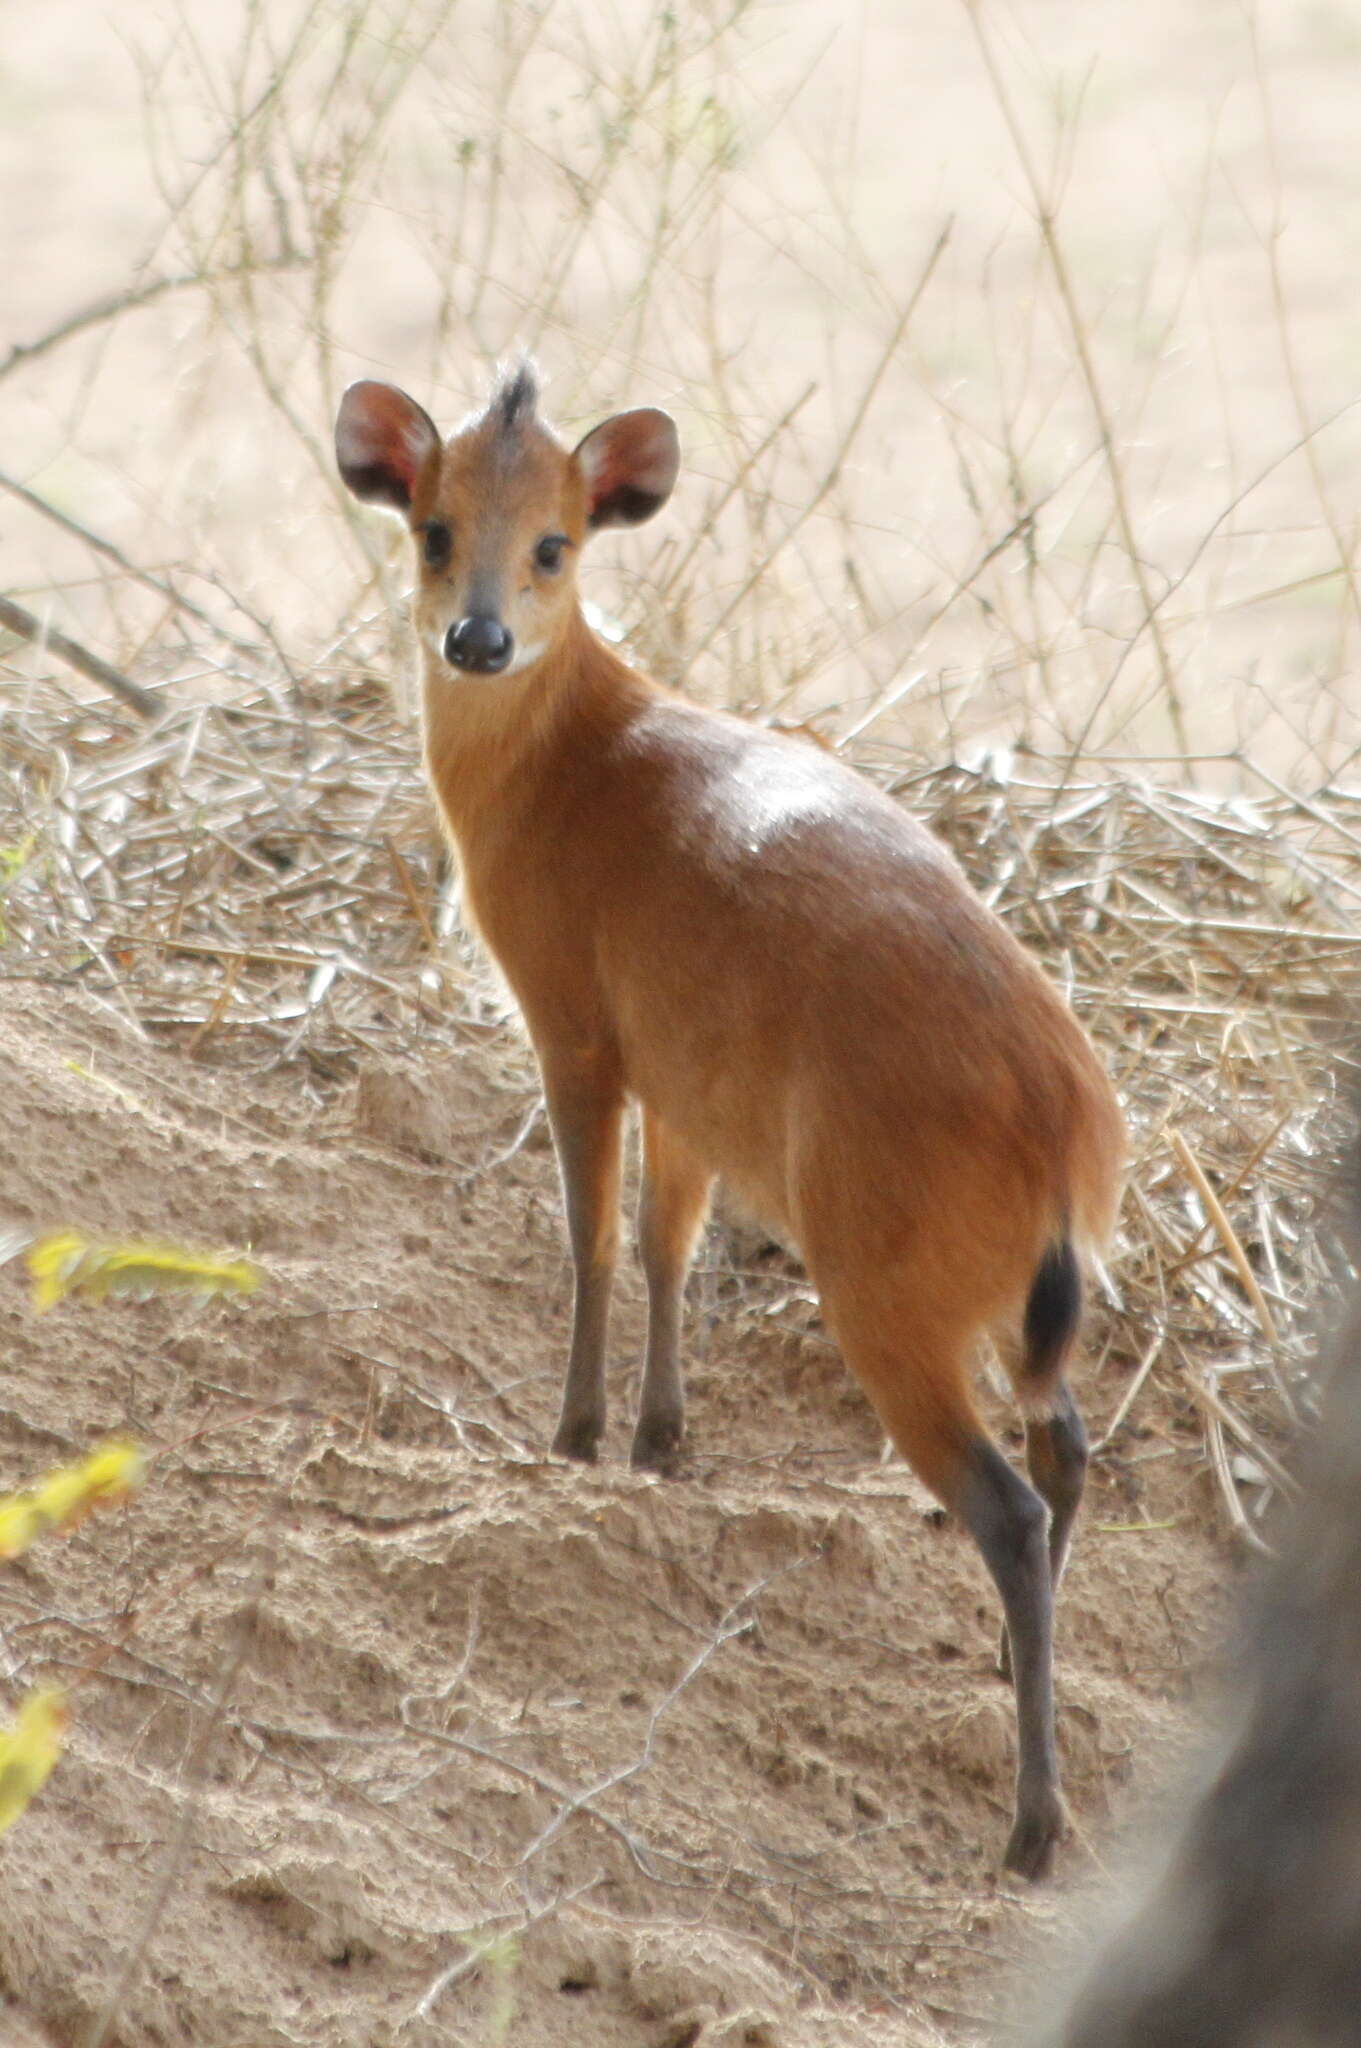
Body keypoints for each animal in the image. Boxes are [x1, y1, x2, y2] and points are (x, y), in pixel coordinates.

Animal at [333, 364, 1121, 1875]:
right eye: (432, 527)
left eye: (555, 545)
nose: (477, 638)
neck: (576, 763)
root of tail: (1063, 1117)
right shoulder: (684, 1082)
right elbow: (665, 1244)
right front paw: (658, 1438)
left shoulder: (576, 1028)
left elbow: (585, 1236)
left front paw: (573, 1434)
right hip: (1011, 1299)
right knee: (1065, 1443)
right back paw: (1013, 1678)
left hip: (882, 1295)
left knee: (1006, 1498)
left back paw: (1032, 1825)